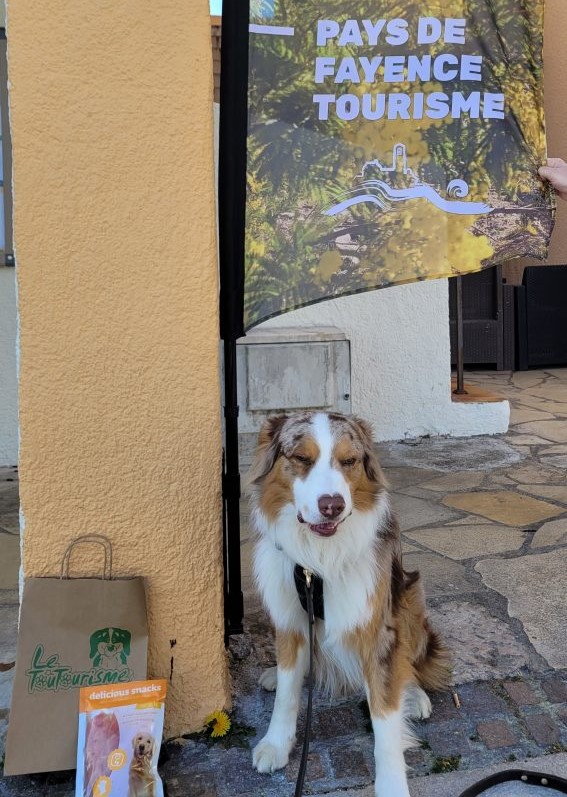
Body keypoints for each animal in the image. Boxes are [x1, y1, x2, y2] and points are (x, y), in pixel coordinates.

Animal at [248, 412, 451, 797]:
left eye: (349, 461)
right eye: (301, 458)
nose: (332, 505)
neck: (319, 562)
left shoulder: (378, 629)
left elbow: (385, 719)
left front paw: (392, 785)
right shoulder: (291, 619)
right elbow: (287, 692)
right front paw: (276, 743)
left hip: (409, 595)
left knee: (410, 664)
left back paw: (415, 696)